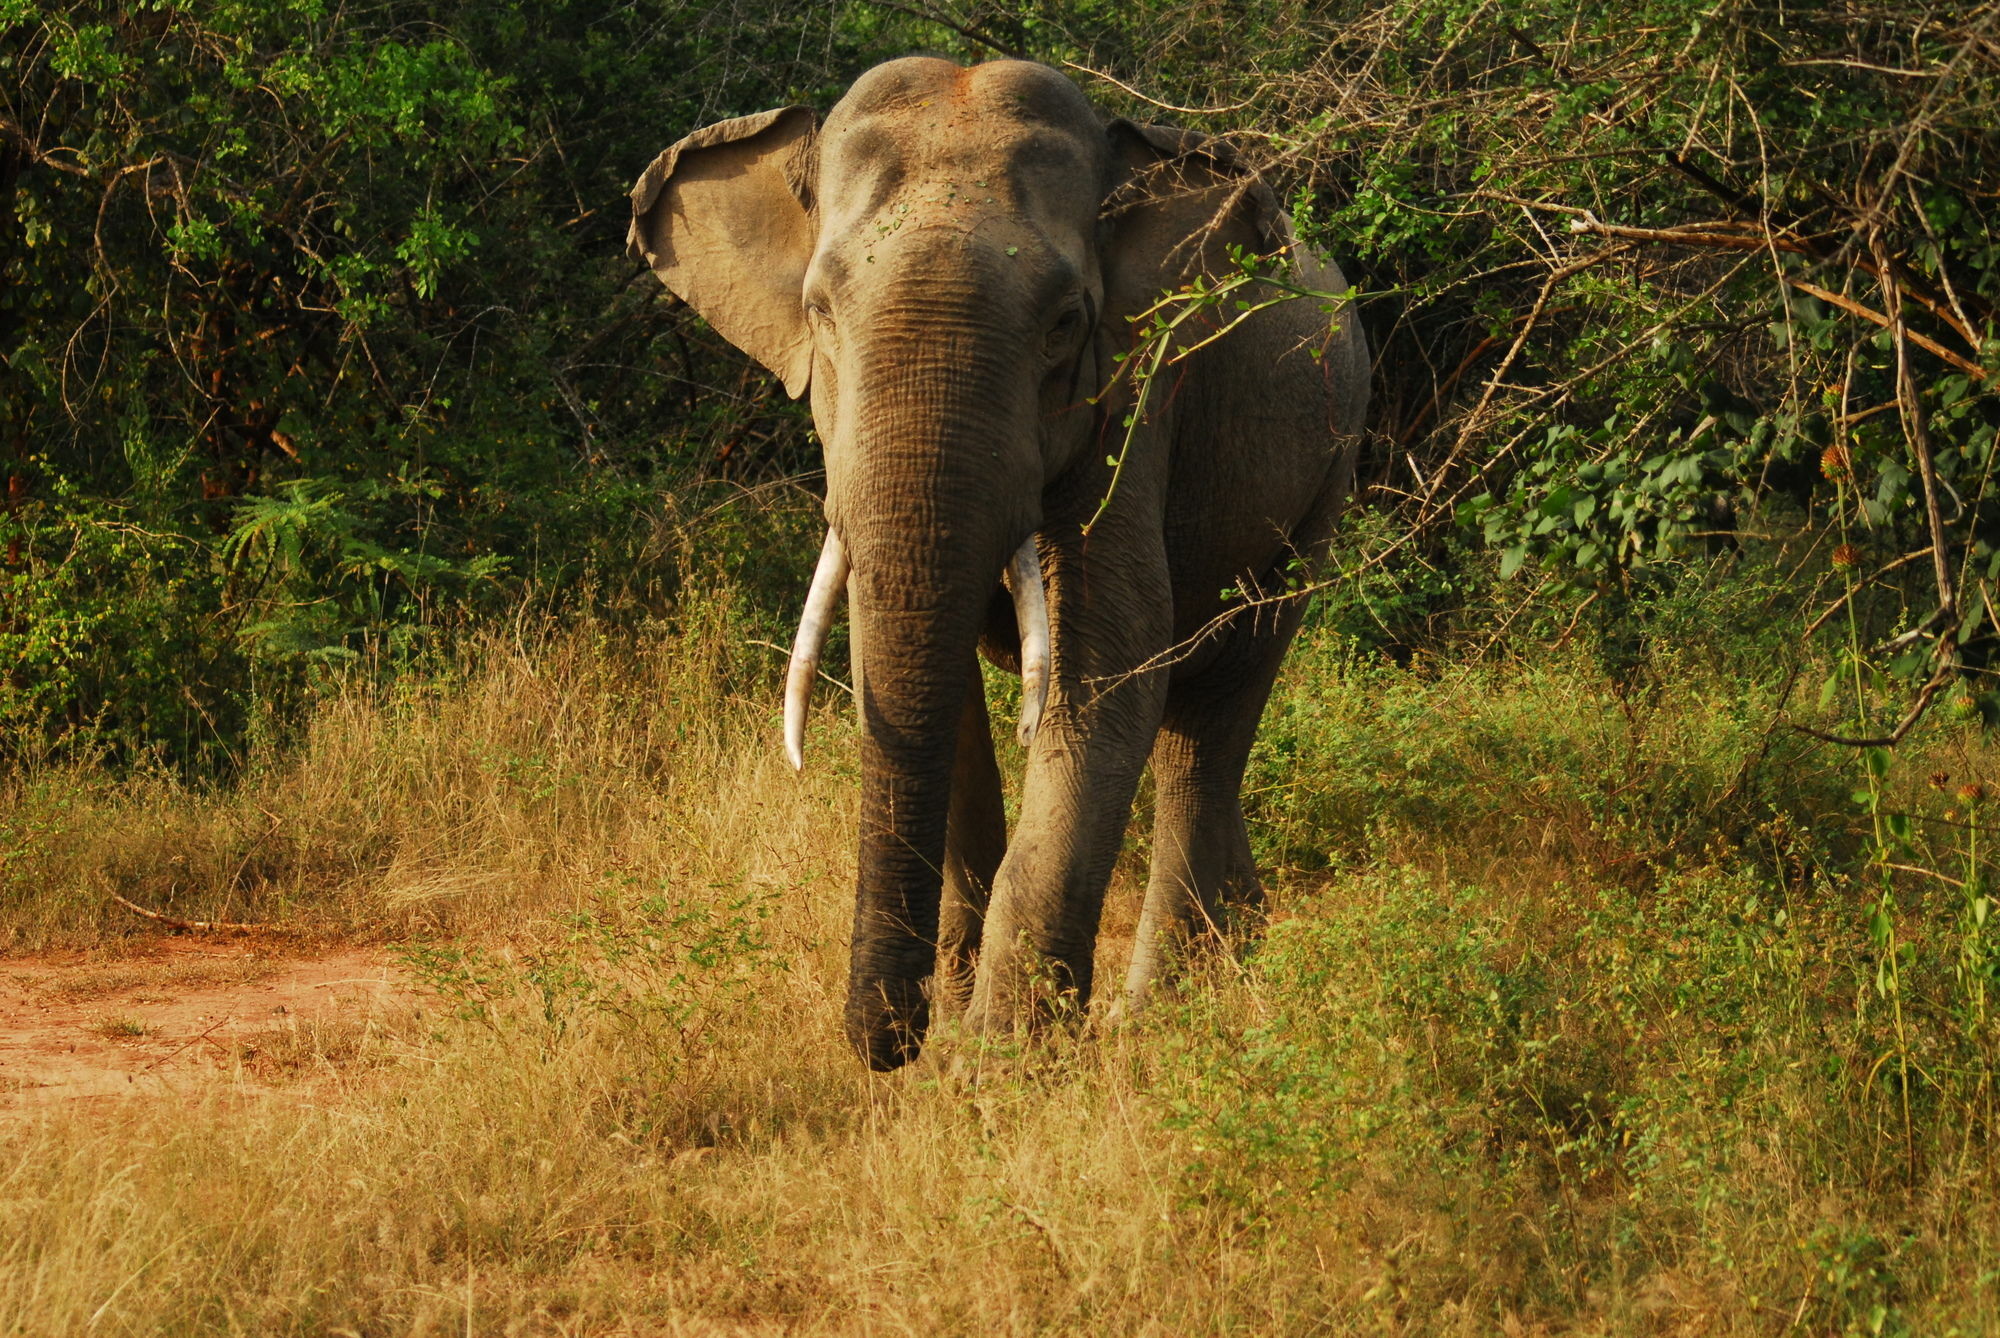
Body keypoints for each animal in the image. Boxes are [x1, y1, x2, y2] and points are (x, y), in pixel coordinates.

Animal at [632, 57, 1368, 1072]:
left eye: (1064, 324)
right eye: (818, 312)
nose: (890, 1043)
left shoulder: (1135, 400)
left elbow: (1109, 660)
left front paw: (998, 1060)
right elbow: (902, 670)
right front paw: (956, 1018)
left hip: (1331, 466)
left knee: (1215, 713)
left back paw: (1159, 1008)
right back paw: (1238, 953)